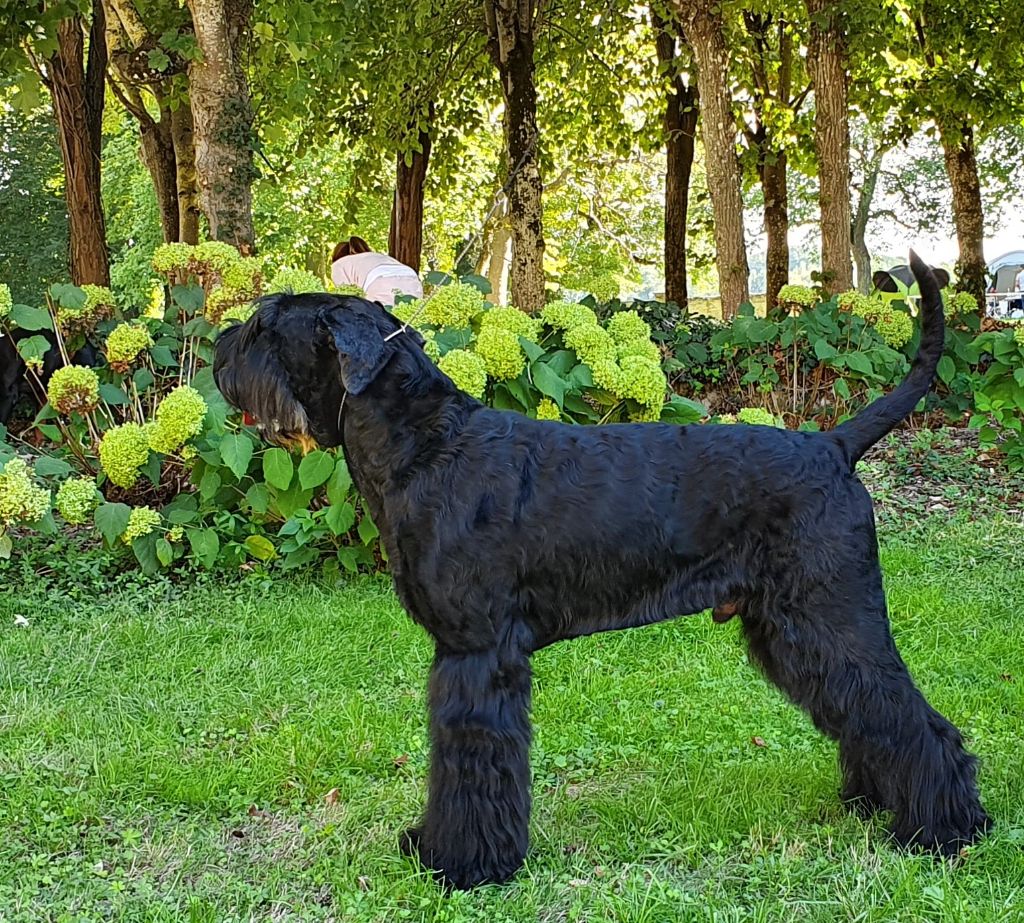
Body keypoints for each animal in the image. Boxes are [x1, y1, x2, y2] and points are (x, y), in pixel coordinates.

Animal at [214, 249, 991, 885]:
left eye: (264, 327)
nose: (220, 349)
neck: (426, 444)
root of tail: (834, 445)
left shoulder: (475, 655)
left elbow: (471, 765)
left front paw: (463, 865)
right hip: (793, 631)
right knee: (869, 713)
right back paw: (880, 804)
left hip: (830, 616)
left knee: (909, 717)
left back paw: (946, 828)